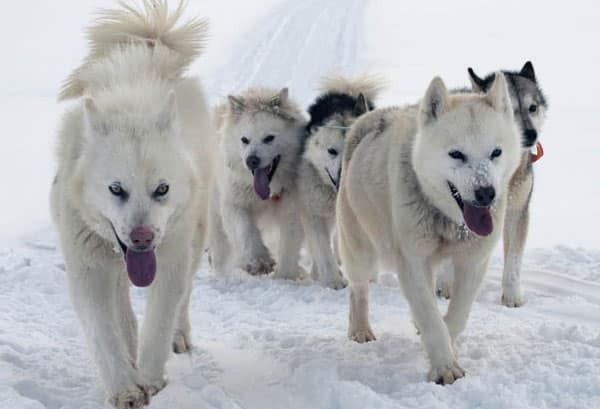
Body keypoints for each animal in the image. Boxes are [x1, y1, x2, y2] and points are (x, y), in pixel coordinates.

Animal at [51, 1, 214, 406]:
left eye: (162, 189)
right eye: (116, 189)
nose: (142, 238)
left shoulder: (169, 260)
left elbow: (159, 322)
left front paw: (151, 380)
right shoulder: (88, 269)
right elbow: (103, 334)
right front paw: (125, 387)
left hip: (195, 238)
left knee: (183, 300)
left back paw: (178, 336)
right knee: (123, 310)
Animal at [338, 72, 520, 382]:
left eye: (496, 152)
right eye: (456, 154)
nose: (486, 193)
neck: (450, 223)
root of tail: (366, 119)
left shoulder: (472, 263)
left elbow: (455, 316)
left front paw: (446, 344)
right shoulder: (412, 262)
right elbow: (431, 317)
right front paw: (444, 368)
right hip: (362, 253)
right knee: (358, 289)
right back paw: (360, 329)